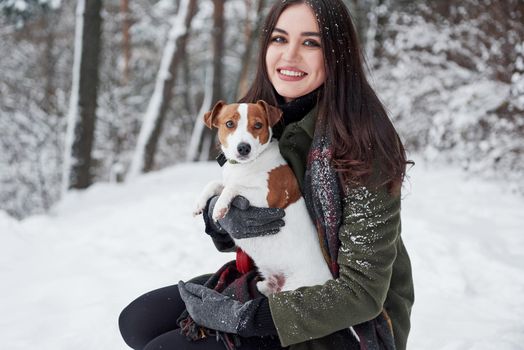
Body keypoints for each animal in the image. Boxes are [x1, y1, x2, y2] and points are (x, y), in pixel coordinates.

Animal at [192, 101, 332, 296]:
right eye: (229, 123)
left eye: (258, 125)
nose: (244, 147)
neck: (247, 165)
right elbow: (216, 183)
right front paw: (200, 203)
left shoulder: (268, 197)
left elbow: (233, 186)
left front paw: (220, 206)